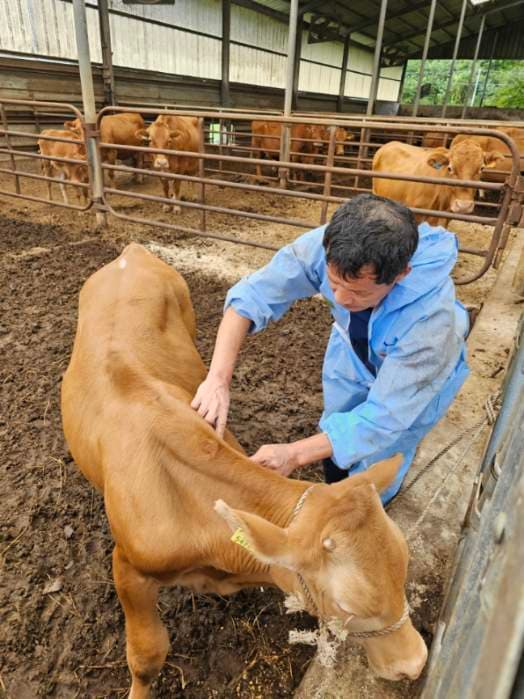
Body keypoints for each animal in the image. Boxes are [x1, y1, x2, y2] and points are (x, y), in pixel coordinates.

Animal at [62, 243, 430, 696]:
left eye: (403, 565)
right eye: (348, 605)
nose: (414, 663)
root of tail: (131, 252)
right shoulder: (129, 565)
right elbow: (147, 655)